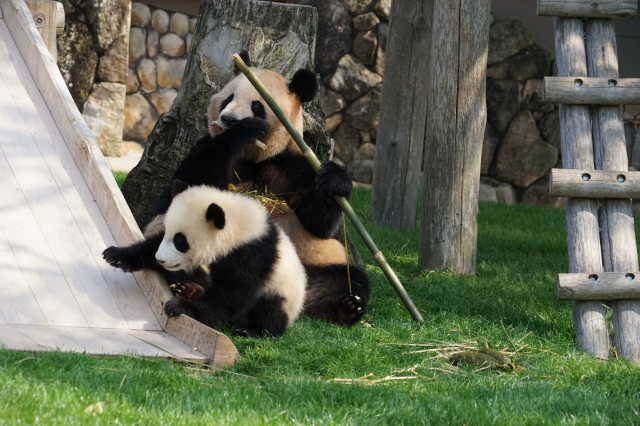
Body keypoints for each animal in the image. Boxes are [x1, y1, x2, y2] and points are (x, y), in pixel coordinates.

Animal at [103, 180, 307, 338]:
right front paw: (117, 256)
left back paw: (250, 330)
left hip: (282, 292)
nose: (160, 260)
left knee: (270, 310)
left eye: (180, 241)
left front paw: (184, 308)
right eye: (167, 232)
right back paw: (188, 289)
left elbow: (233, 291)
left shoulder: (250, 253)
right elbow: (151, 244)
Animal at [148, 51, 370, 327]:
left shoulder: (294, 165)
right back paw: (193, 287)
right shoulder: (206, 148)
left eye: (257, 105)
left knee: (349, 280)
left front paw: (334, 180)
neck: (254, 156)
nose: (228, 118)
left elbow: (318, 222)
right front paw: (243, 129)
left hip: (319, 264)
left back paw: (344, 307)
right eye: (229, 98)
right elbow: (185, 185)